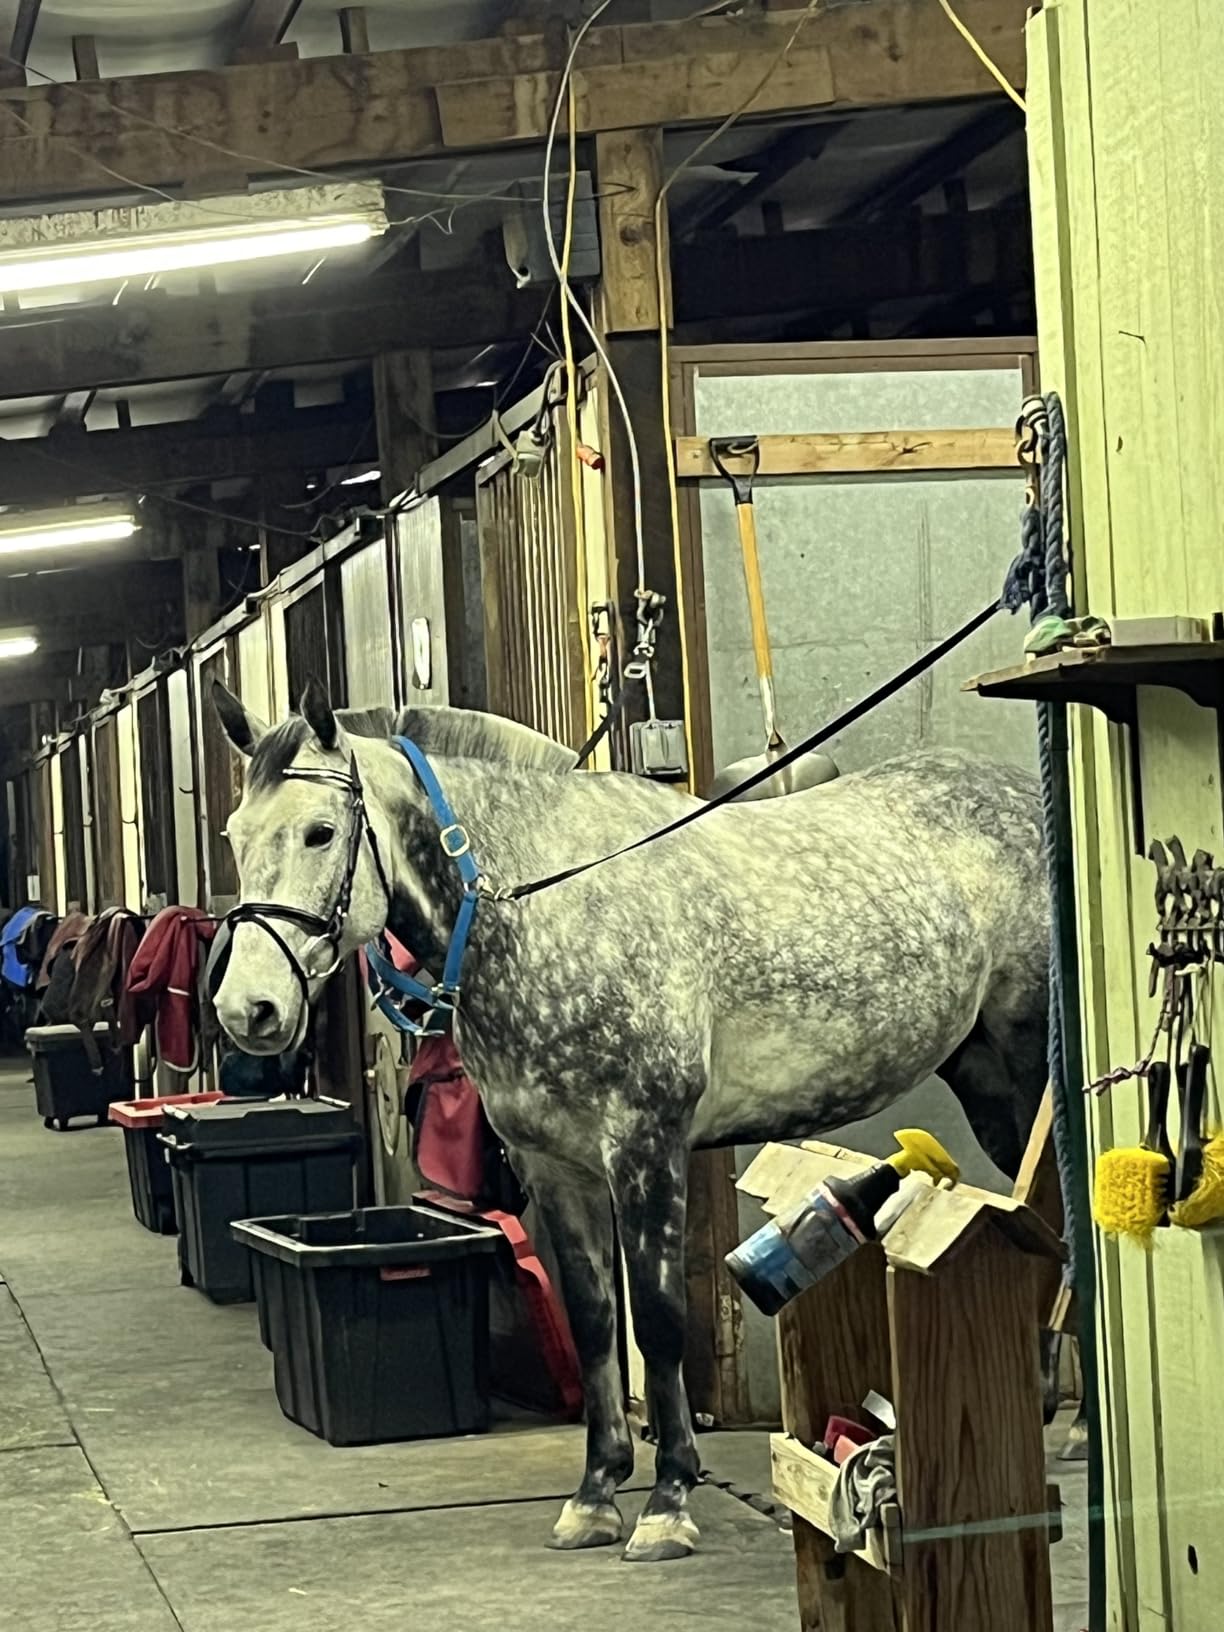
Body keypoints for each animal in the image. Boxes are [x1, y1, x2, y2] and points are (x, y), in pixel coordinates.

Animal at [210, 680, 1051, 1564]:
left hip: (1025, 1073)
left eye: (320, 831)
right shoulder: (554, 1165)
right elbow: (594, 1321)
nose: (247, 1010)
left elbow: (658, 1320)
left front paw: (669, 1499)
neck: (547, 903)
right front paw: (597, 1493)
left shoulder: (646, 1148)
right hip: (980, 1073)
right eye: (236, 836)